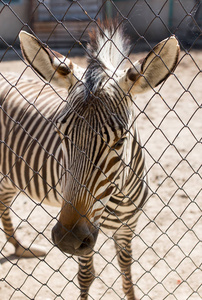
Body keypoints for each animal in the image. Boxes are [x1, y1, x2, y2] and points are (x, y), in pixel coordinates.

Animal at [0, 19, 180, 298]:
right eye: (60, 134)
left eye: (119, 142)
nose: (68, 241)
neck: (118, 195)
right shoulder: (86, 237)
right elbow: (86, 276)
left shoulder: (127, 228)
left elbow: (127, 273)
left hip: (11, 176)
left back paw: (21, 248)